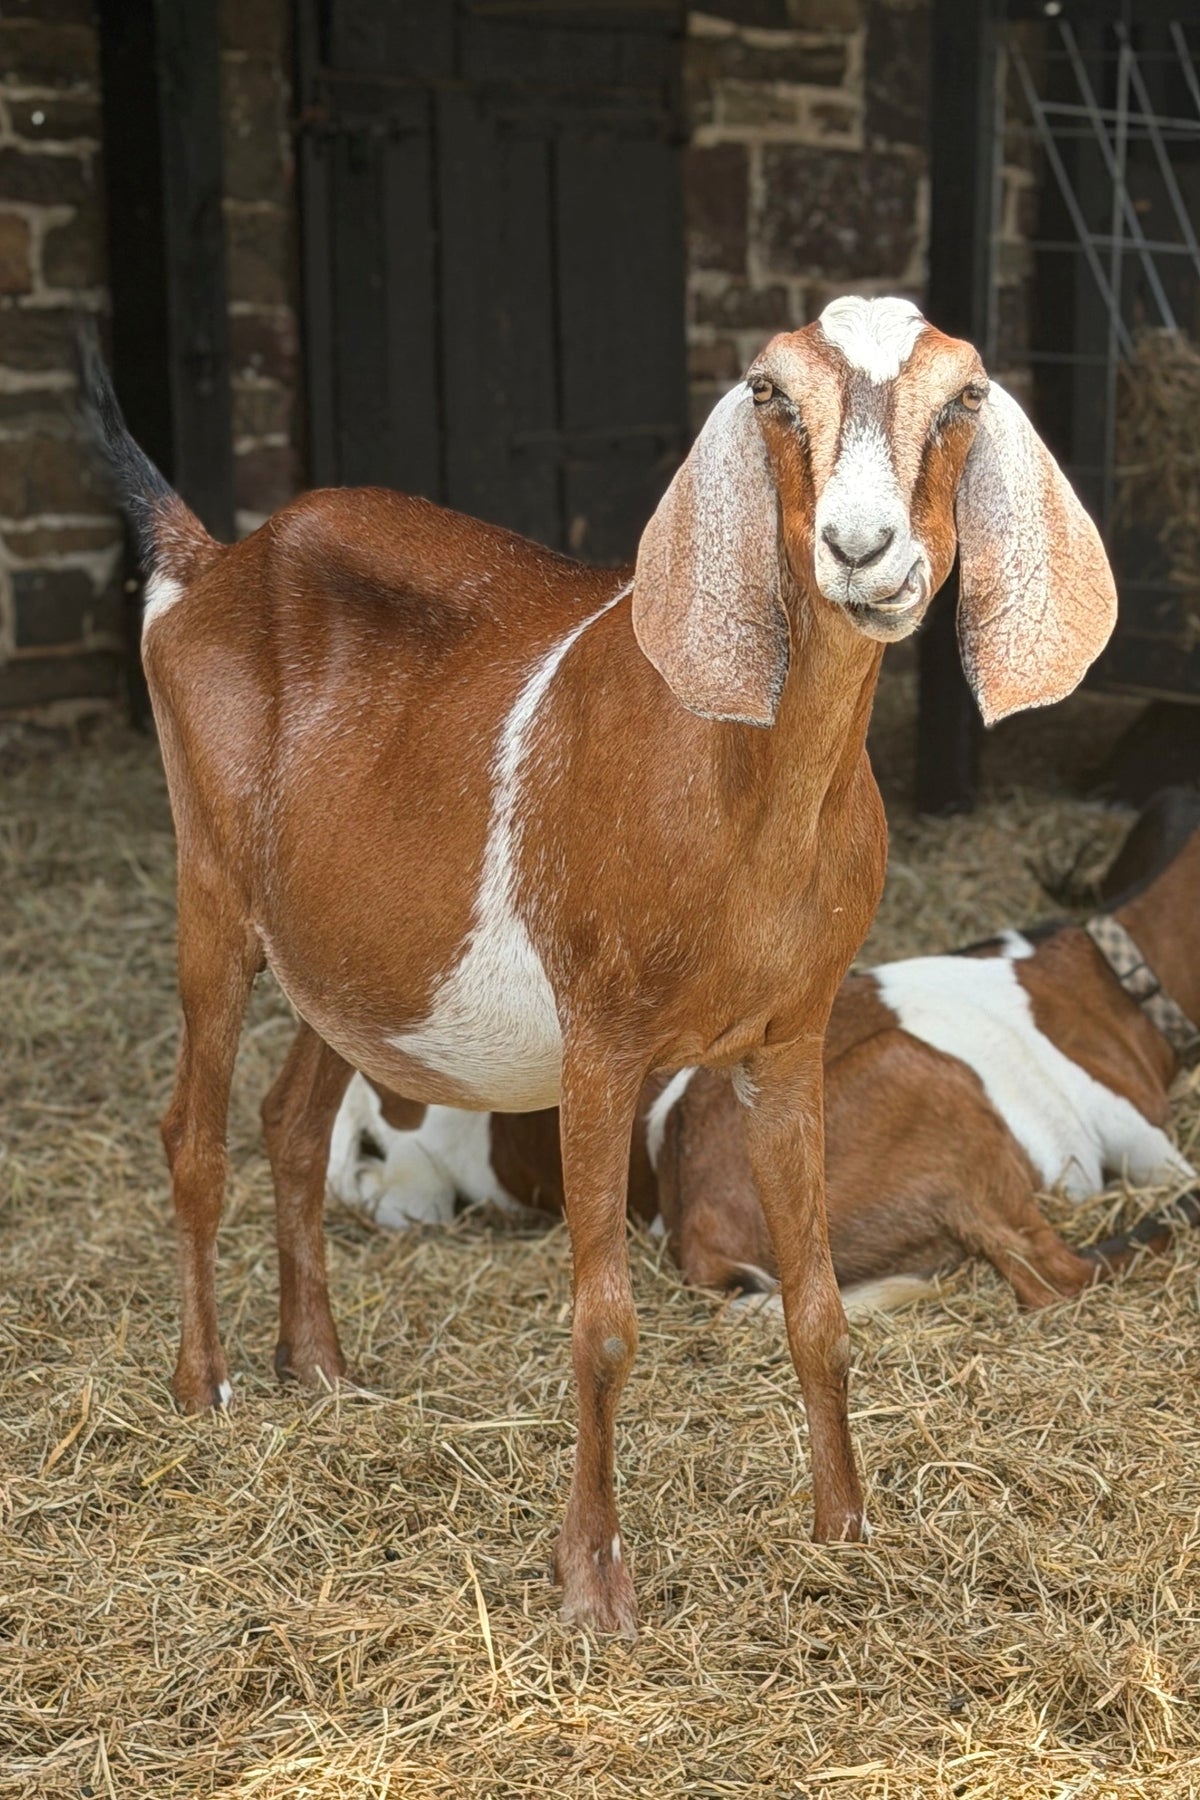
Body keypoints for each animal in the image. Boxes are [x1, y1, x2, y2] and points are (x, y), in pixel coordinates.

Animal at [82, 295, 1114, 1635]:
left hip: (354, 957)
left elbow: (819, 1301)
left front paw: (845, 1531)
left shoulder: (788, 1040)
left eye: (964, 398)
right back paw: (203, 1384)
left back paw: (318, 1367)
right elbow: (606, 1324)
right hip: (212, 892)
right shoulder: (600, 1045)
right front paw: (594, 1582)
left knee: (291, 1119)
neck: (739, 794)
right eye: (772, 396)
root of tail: (209, 564)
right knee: (191, 1134)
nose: (863, 548)